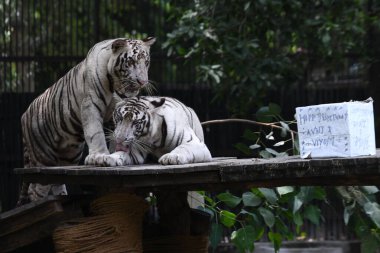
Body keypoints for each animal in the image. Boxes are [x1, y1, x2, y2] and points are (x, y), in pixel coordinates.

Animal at [84, 95, 212, 166]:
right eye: (119, 118)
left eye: (135, 123)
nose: (119, 140)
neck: (153, 138)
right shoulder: (137, 150)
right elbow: (121, 153)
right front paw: (107, 158)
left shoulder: (195, 143)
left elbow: (183, 148)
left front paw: (171, 157)